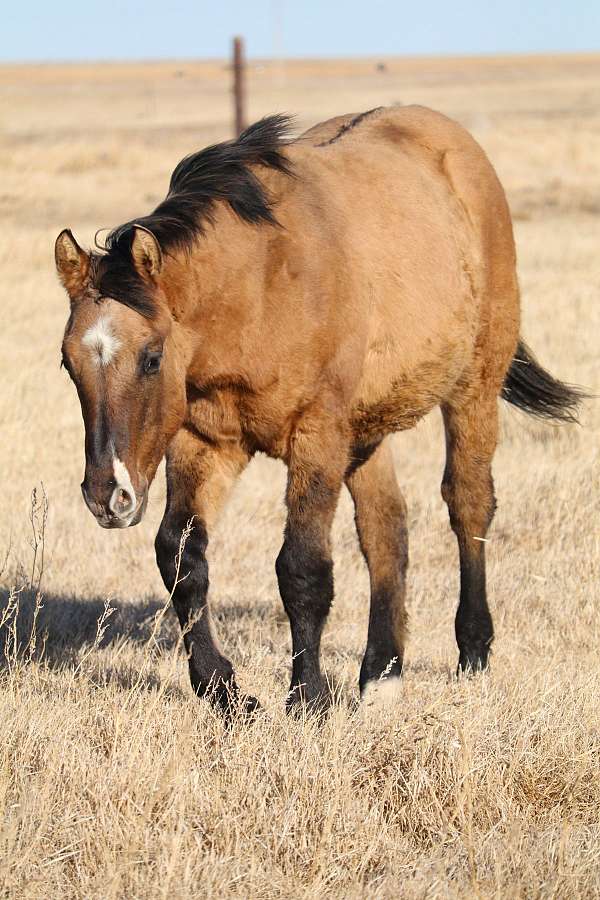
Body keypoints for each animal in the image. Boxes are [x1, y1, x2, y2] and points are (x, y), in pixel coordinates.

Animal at [55, 106, 582, 716]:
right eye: (68, 363)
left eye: (151, 358)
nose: (107, 496)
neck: (261, 284)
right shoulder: (204, 443)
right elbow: (181, 558)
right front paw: (225, 692)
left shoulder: (316, 437)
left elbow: (302, 568)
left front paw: (307, 697)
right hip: (369, 431)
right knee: (386, 528)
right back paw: (381, 674)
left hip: (473, 388)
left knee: (469, 506)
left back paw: (472, 655)